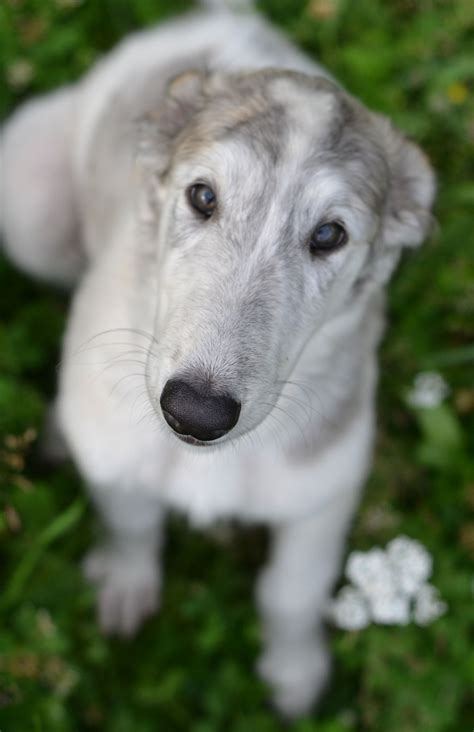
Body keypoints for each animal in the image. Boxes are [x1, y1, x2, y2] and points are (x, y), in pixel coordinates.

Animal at [0, 0, 436, 716]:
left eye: (329, 234)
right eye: (203, 197)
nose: (195, 413)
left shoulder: (324, 491)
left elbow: (292, 591)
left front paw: (294, 674)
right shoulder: (120, 460)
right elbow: (131, 522)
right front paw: (124, 586)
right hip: (28, 208)